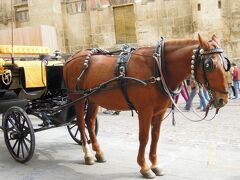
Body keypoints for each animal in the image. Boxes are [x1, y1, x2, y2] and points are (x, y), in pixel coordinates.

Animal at [62, 34, 230, 179]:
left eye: (225, 63)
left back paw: (98, 152)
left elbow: (155, 136)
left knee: (90, 123)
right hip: (78, 99)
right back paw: (88, 154)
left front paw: (155, 164)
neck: (158, 67)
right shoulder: (145, 111)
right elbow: (144, 137)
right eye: (209, 65)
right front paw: (144, 167)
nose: (223, 99)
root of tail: (70, 59)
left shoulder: (159, 111)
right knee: (81, 124)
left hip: (93, 99)